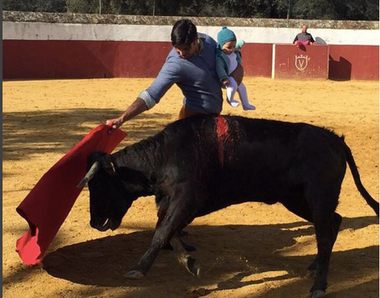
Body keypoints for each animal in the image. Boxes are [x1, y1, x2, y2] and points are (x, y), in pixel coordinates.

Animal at [79, 114, 378, 298]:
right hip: (296, 199)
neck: (165, 155)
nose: (94, 222)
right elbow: (168, 232)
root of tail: (335, 140)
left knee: (325, 232)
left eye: (99, 185)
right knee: (333, 222)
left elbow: (162, 232)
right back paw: (314, 267)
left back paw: (319, 285)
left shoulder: (187, 199)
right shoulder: (173, 202)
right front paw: (190, 263)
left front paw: (138, 269)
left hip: (318, 196)